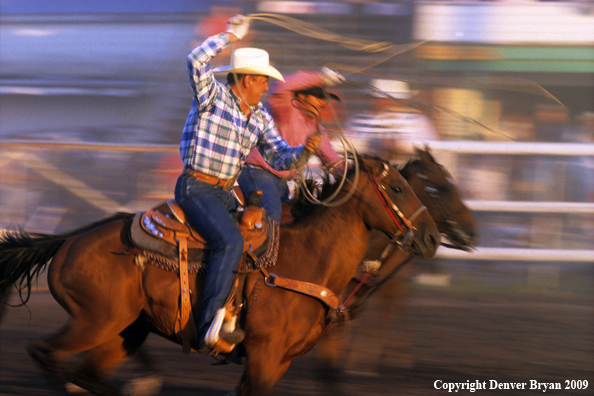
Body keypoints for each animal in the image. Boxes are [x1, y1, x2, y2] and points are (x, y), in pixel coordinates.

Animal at [0, 155, 434, 396]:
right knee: (46, 354)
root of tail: (69, 241)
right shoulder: (264, 355)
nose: (431, 237)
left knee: (86, 373)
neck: (307, 259)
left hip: (125, 331)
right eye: (397, 188)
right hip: (95, 321)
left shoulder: (281, 361)